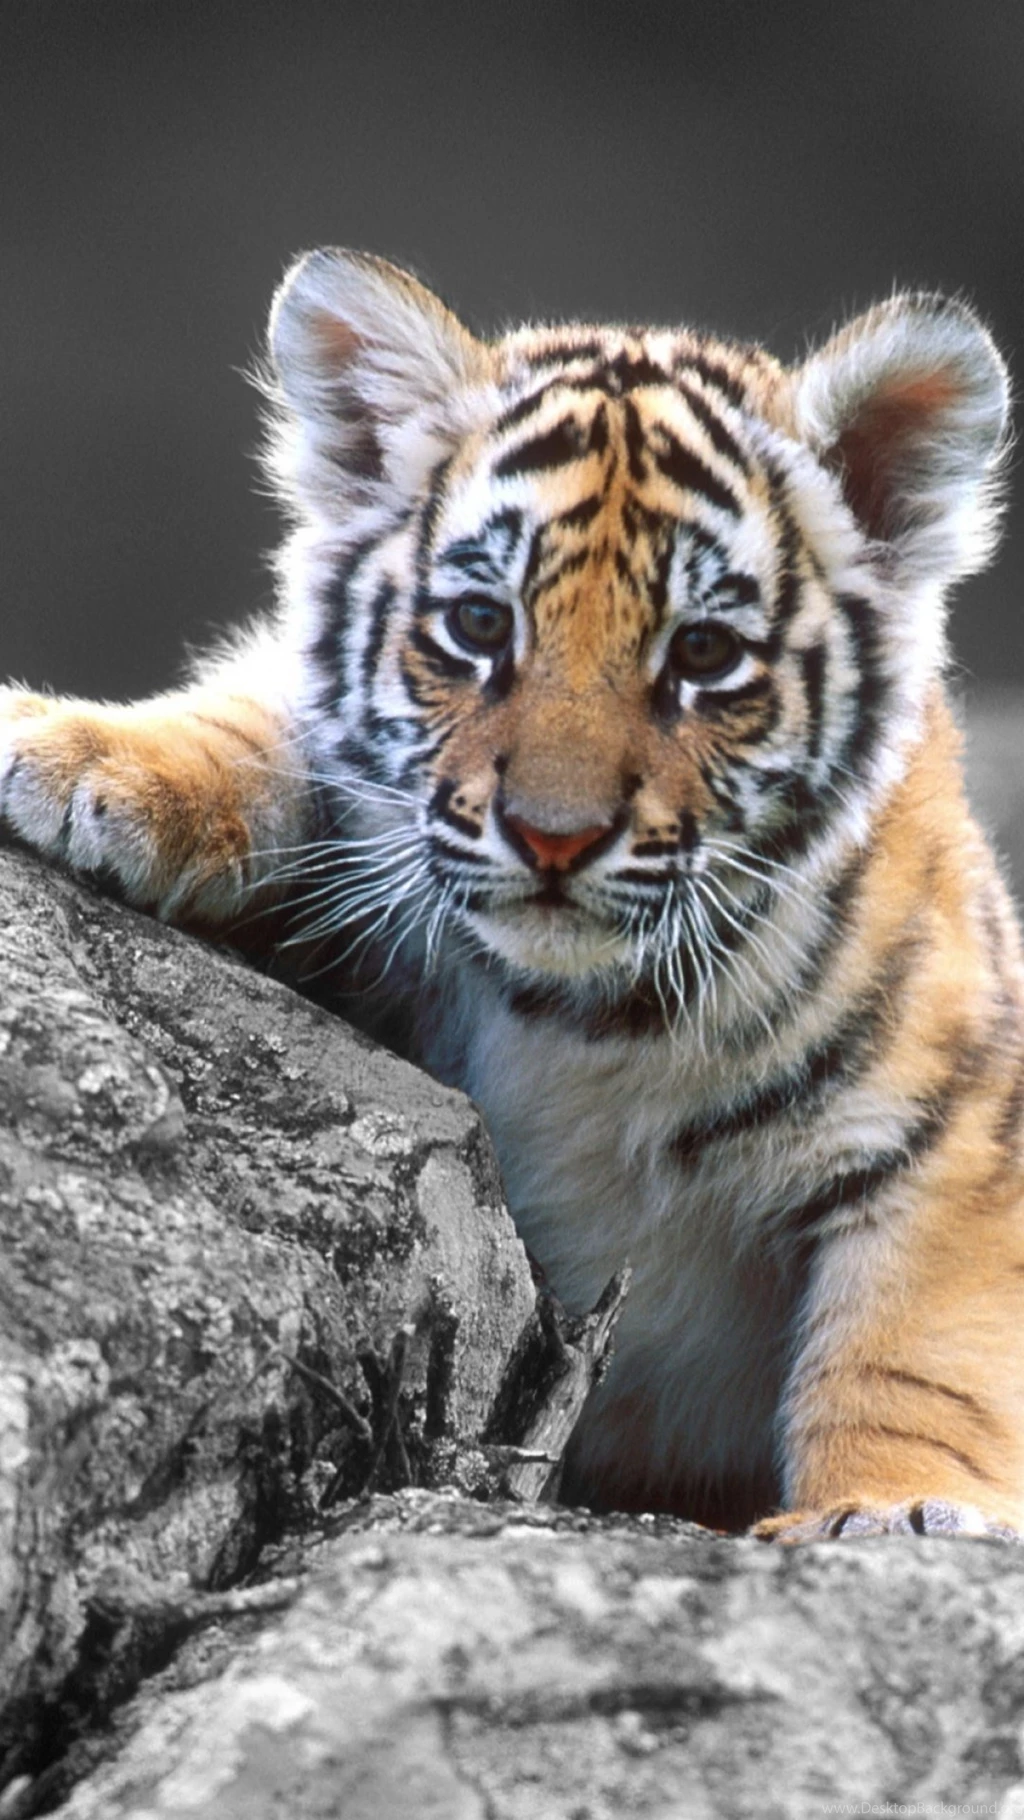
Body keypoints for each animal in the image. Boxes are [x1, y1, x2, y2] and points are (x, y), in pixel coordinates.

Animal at [3, 248, 1024, 1540]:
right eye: (481, 624)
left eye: (703, 654)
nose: (553, 836)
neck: (585, 1020)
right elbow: (268, 725)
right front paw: (76, 753)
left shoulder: (956, 1134)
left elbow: (915, 1350)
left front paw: (887, 1511)